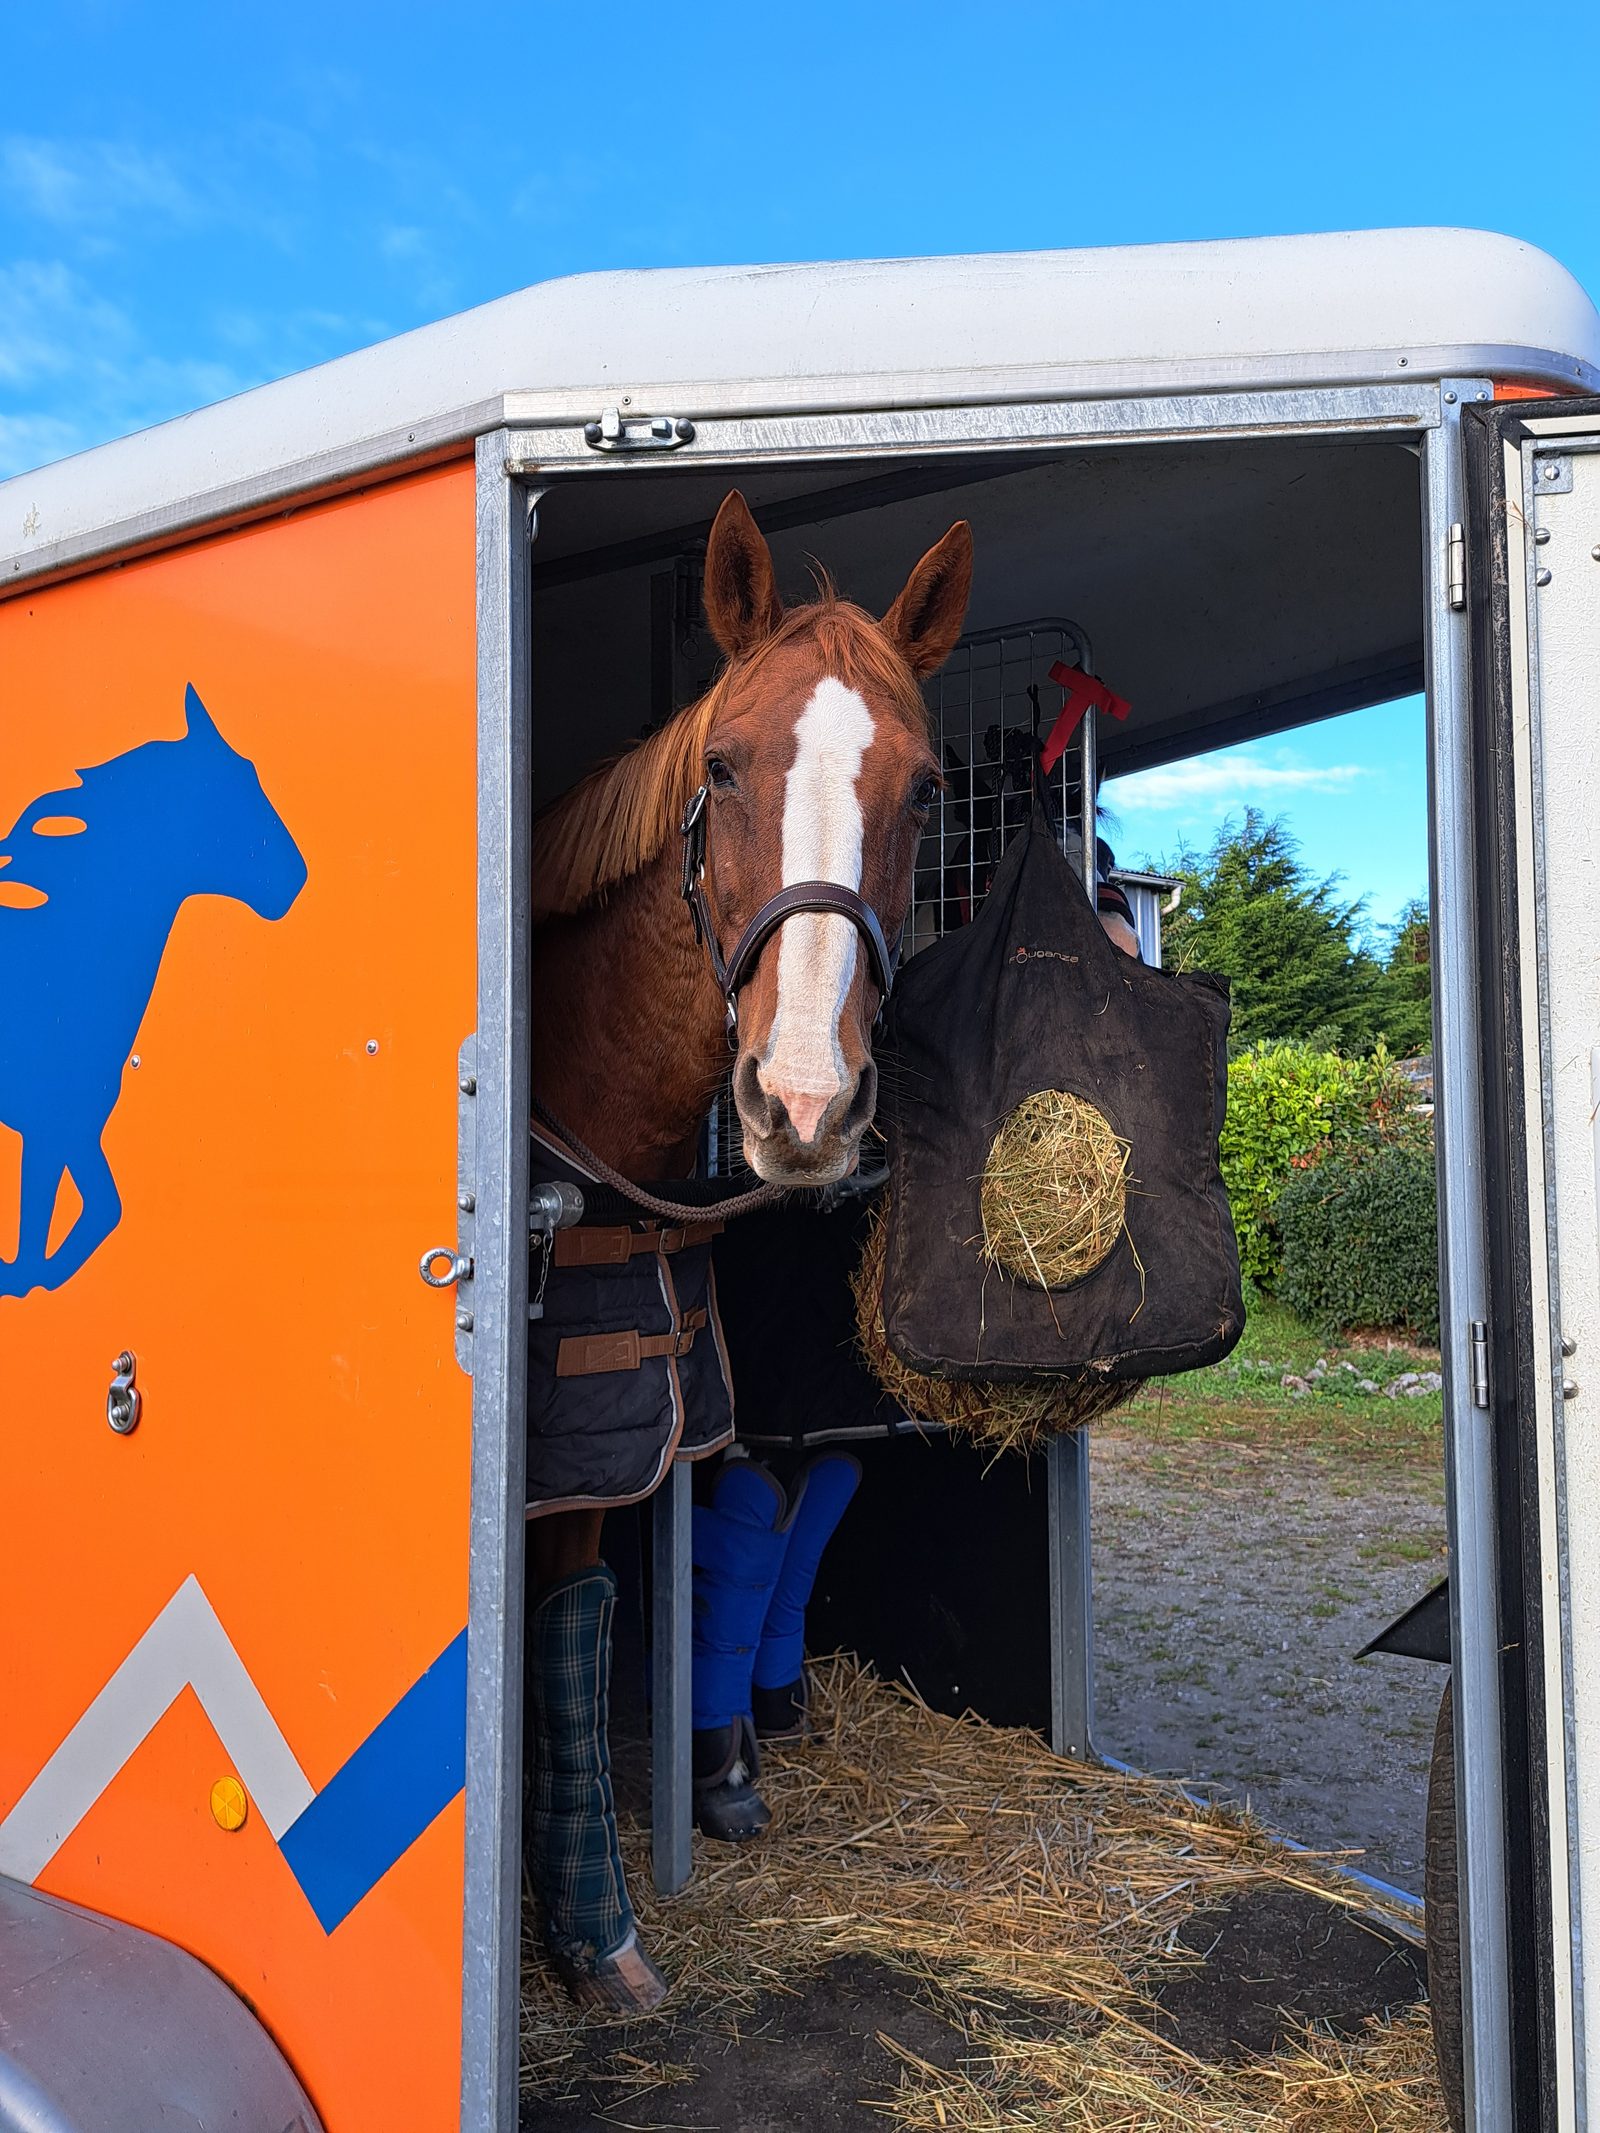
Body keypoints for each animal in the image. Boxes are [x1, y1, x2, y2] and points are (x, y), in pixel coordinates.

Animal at [0, 685, 307, 1300]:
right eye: (232, 788)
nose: (295, 878)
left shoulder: (67, 1124)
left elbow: (97, 1210)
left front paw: (30, 1278)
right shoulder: (51, 1119)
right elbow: (64, 1218)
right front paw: (27, 1279)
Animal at [525, 490, 974, 2008]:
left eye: (926, 789)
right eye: (721, 768)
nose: (806, 1101)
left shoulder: (603, 1456)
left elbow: (571, 1632)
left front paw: (592, 1931)